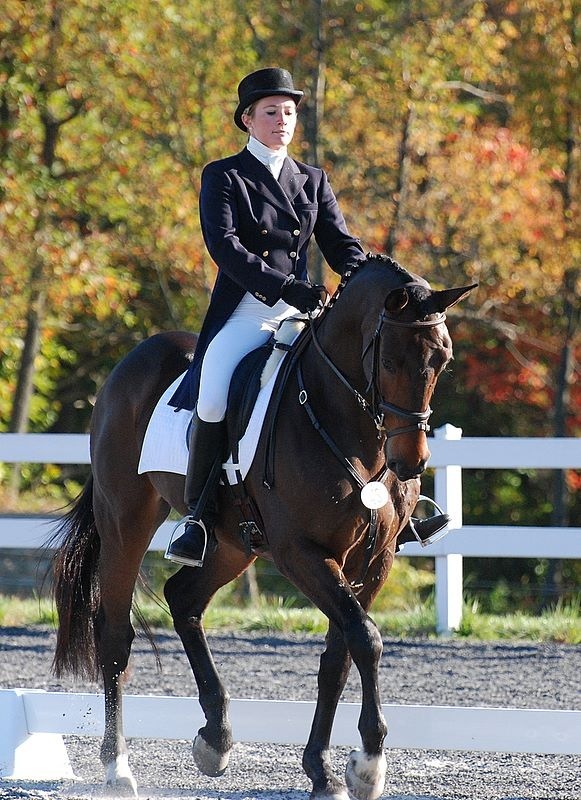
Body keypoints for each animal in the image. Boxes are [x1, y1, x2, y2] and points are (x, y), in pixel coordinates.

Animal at [49, 254, 475, 800]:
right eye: (390, 363)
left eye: (442, 360)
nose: (411, 463)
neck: (344, 425)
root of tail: (132, 360)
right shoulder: (302, 553)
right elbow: (365, 637)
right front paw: (368, 763)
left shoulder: (372, 560)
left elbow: (341, 654)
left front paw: (324, 768)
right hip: (126, 519)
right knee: (115, 635)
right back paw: (118, 768)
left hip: (234, 543)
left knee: (183, 598)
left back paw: (216, 738)